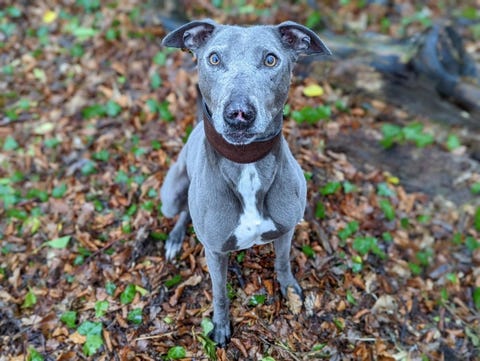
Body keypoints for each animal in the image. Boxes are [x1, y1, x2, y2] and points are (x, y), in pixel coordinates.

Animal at [159, 18, 332, 344]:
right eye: (214, 59)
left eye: (270, 59)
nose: (239, 114)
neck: (246, 163)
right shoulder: (215, 251)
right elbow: (219, 292)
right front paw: (221, 325)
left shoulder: (287, 230)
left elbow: (283, 262)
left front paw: (290, 290)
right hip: (171, 195)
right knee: (182, 210)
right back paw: (175, 239)